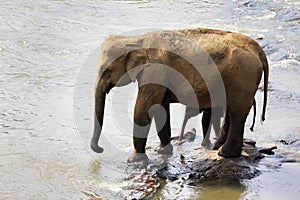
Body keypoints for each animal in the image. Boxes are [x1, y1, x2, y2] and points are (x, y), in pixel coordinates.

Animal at [90, 27, 268, 161]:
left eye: (105, 70)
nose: (100, 149)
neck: (138, 39)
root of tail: (258, 49)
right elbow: (160, 110)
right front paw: (162, 150)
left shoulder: (155, 71)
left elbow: (143, 111)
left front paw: (135, 160)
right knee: (232, 111)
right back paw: (217, 147)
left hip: (242, 78)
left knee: (237, 113)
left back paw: (225, 153)